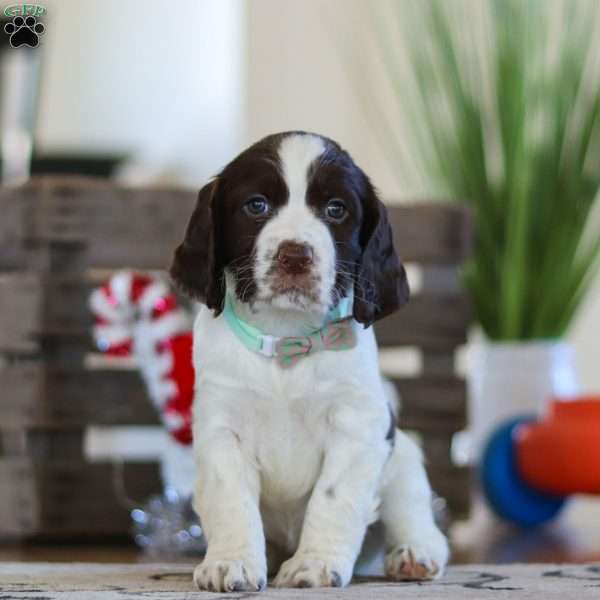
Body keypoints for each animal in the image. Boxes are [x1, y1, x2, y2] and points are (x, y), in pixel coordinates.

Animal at [169, 131, 446, 592]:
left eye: (336, 209)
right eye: (256, 205)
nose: (295, 255)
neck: (286, 340)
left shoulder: (358, 425)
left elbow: (333, 497)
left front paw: (314, 565)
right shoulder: (222, 424)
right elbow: (231, 498)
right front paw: (231, 563)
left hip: (402, 453)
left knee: (412, 509)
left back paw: (414, 554)